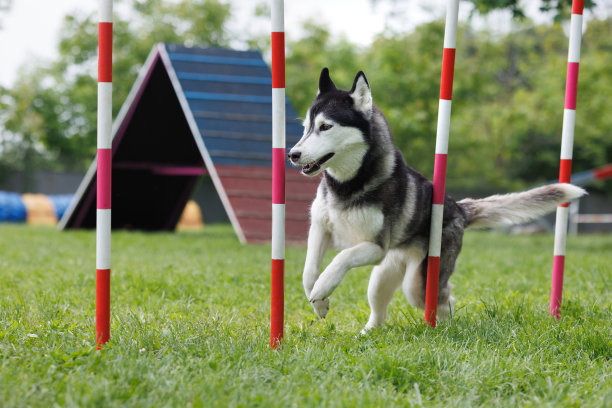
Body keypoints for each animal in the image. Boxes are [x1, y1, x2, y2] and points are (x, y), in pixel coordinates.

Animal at [292, 67, 588, 332]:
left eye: (326, 127)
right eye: (306, 128)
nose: (293, 154)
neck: (347, 184)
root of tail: (458, 207)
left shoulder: (376, 246)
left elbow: (341, 257)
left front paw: (323, 287)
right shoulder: (321, 227)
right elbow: (308, 271)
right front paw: (319, 300)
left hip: (418, 279)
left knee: (443, 296)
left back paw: (443, 325)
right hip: (386, 271)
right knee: (380, 305)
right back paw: (369, 332)